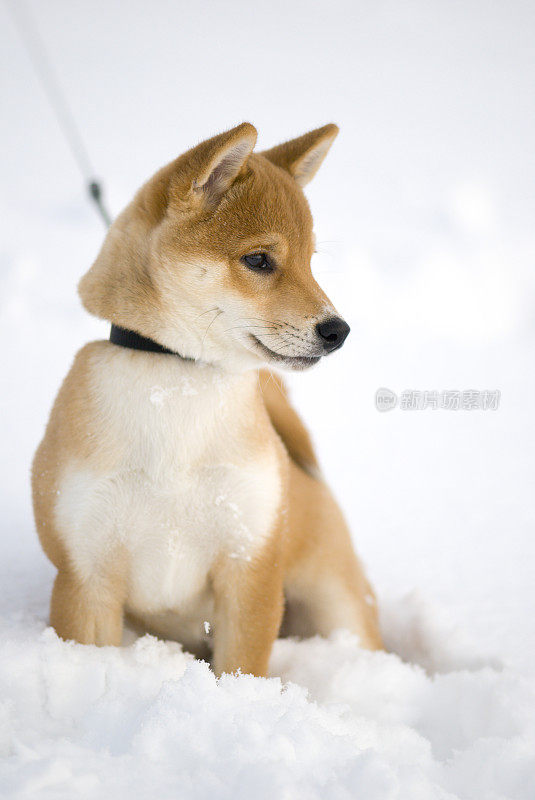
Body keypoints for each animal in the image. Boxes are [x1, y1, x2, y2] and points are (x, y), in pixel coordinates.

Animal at [31, 123, 384, 676]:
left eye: (310, 262)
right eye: (259, 260)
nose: (338, 331)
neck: (179, 377)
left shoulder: (249, 569)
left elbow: (241, 668)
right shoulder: (85, 574)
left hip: (337, 604)